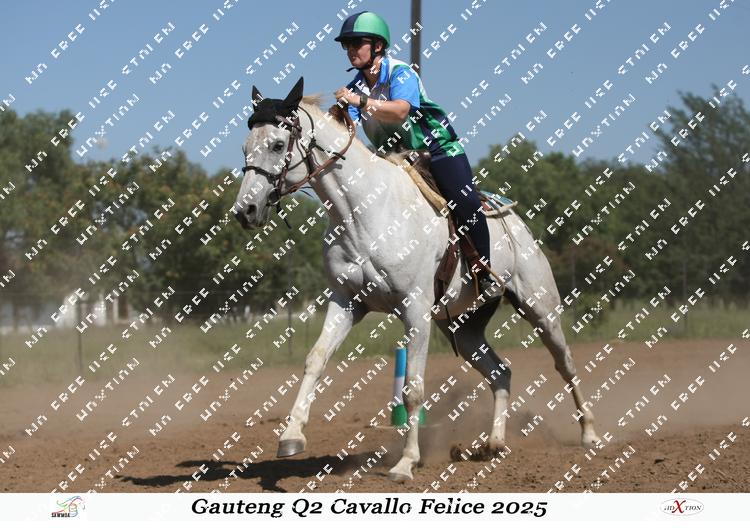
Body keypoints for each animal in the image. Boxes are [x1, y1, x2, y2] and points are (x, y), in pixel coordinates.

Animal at [233, 77, 600, 482]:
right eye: (245, 147)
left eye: (277, 144)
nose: (245, 211)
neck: (363, 213)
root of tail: (516, 223)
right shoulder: (346, 302)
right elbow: (315, 360)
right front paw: (291, 436)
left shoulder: (415, 310)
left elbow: (413, 387)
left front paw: (406, 462)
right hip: (463, 328)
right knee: (500, 372)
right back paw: (493, 444)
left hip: (540, 308)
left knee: (565, 363)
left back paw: (590, 434)